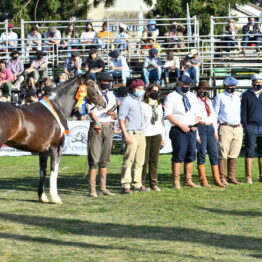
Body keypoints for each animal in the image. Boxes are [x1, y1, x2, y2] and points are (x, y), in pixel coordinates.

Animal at [0, 74, 106, 204]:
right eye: (92, 85)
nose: (104, 103)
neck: (57, 107)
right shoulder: (56, 148)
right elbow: (54, 170)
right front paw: (56, 198)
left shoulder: (43, 152)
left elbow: (43, 171)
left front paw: (43, 197)